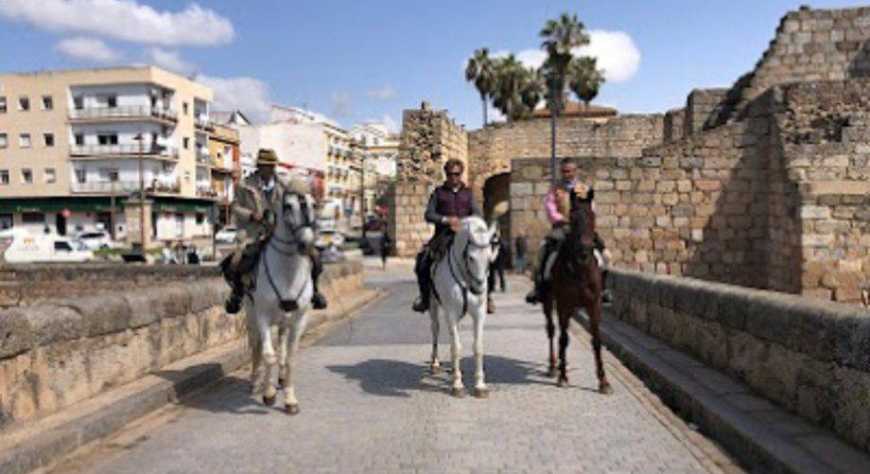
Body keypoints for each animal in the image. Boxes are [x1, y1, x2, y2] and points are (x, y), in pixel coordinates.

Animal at [245, 189, 316, 414]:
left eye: (314, 204)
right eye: (287, 206)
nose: (306, 244)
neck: (287, 273)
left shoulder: (299, 320)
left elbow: (290, 358)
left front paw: (290, 399)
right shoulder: (263, 317)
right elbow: (269, 355)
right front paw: (268, 394)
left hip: (285, 321)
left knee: (282, 347)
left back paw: (281, 378)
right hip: (251, 316)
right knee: (257, 346)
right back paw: (255, 380)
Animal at [428, 217, 498, 398]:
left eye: (489, 257)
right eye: (471, 258)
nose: (479, 289)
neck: (466, 279)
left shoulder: (479, 313)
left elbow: (477, 347)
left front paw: (480, 385)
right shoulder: (451, 314)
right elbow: (456, 348)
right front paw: (457, 384)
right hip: (433, 305)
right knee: (436, 330)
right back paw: (435, 363)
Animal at [540, 189, 612, 392]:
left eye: (593, 216)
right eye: (572, 217)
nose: (583, 253)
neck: (581, 269)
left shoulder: (594, 304)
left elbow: (596, 340)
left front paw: (603, 381)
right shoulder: (563, 304)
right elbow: (563, 338)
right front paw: (563, 376)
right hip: (548, 302)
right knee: (552, 331)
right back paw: (553, 366)